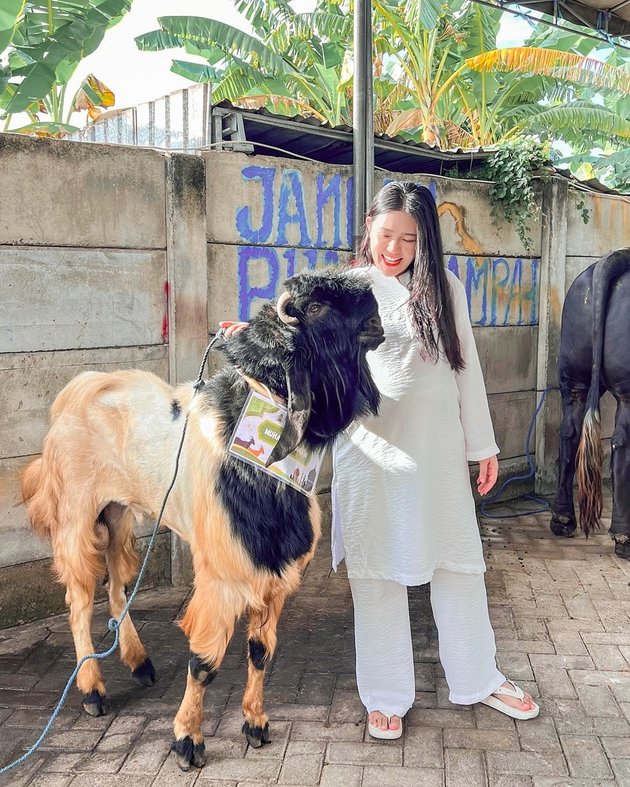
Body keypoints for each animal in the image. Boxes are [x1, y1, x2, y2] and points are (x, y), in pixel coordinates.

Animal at [21, 270, 386, 768]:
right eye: (315, 307)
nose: (376, 311)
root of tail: (78, 391)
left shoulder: (274, 574)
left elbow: (260, 652)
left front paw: (256, 723)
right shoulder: (221, 575)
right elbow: (204, 662)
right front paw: (187, 739)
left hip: (118, 512)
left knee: (116, 585)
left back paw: (140, 663)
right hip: (77, 515)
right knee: (78, 599)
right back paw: (93, 690)